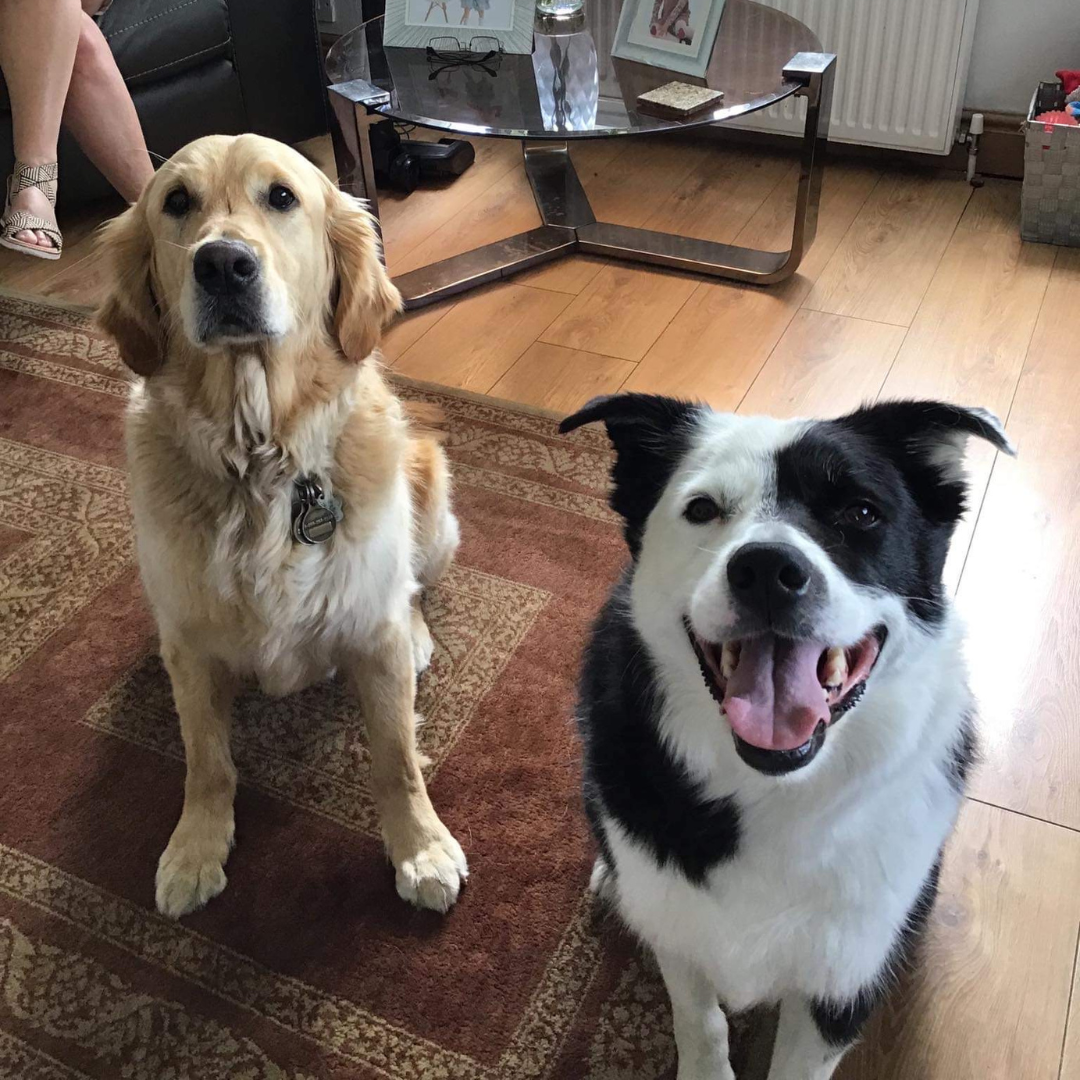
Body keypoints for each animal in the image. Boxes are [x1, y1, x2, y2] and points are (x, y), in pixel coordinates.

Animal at [561, 397, 1015, 1080]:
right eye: (702, 509)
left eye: (861, 513)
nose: (768, 569)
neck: (775, 786)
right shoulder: (680, 931)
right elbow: (700, 1023)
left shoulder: (843, 974)